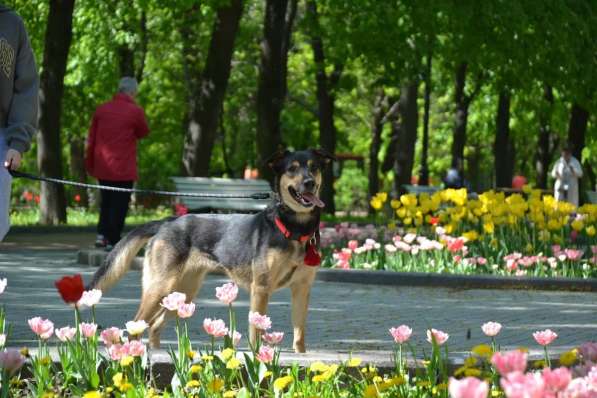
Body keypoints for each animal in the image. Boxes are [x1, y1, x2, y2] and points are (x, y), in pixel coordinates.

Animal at [88, 148, 332, 352]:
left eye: (314, 167)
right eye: (292, 168)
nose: (309, 183)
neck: (296, 229)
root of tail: (167, 221)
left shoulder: (302, 288)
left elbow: (299, 335)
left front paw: (300, 355)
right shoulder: (261, 288)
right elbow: (257, 332)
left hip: (183, 292)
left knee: (154, 325)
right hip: (160, 287)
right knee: (136, 326)